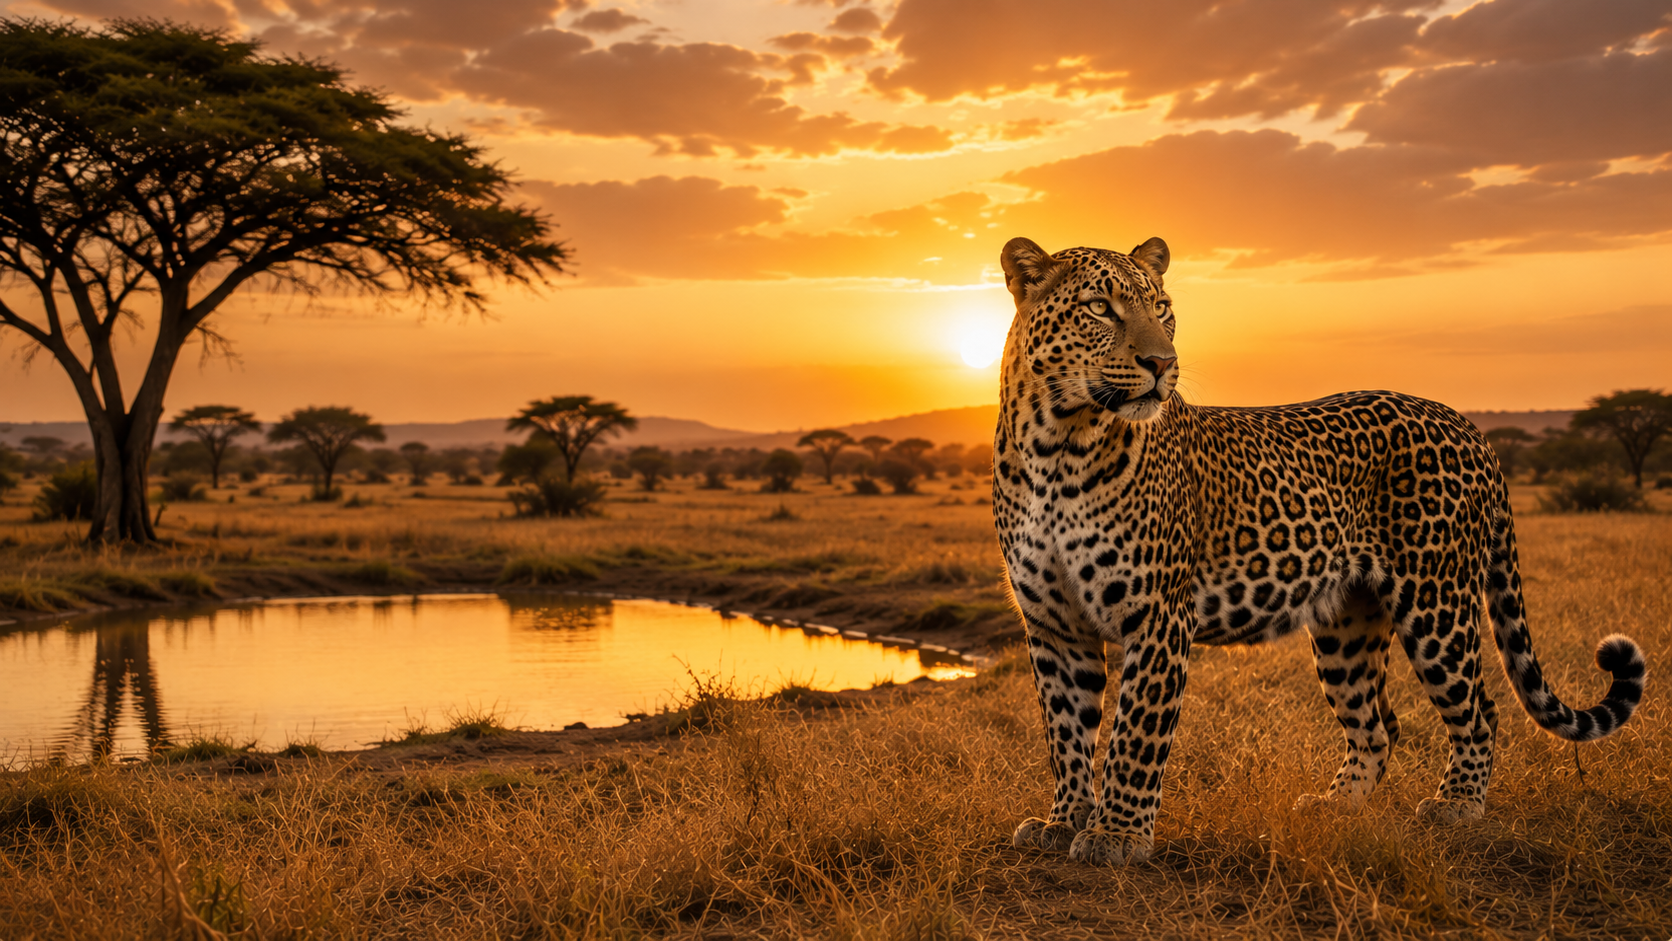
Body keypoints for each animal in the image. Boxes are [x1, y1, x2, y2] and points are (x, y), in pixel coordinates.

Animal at [991, 235, 1648, 866]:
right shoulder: (1053, 625)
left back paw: (1456, 804)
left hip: (1437, 604)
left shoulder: (1157, 617)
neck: (1059, 444)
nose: (1161, 364)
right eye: (1100, 308)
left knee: (1479, 709)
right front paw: (1063, 821)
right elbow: (1066, 731)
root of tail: (1467, 425)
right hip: (1347, 626)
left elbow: (1134, 735)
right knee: (1379, 727)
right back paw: (1336, 805)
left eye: (1162, 309)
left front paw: (1118, 835)